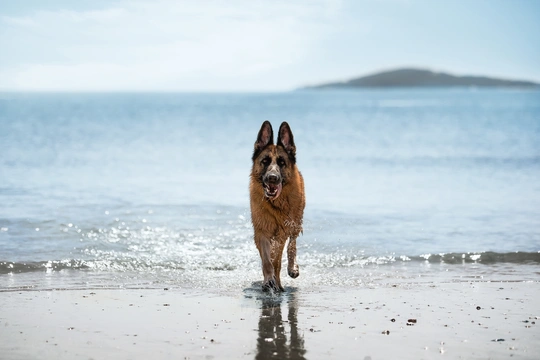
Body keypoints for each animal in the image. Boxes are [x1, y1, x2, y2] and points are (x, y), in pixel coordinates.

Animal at [249, 121, 304, 292]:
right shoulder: (261, 232)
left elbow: (277, 261)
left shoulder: (282, 233)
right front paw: (268, 281)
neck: (274, 204)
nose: (272, 178)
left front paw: (277, 283)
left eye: (281, 163)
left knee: (292, 244)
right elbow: (267, 261)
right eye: (265, 161)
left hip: (296, 223)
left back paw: (292, 269)